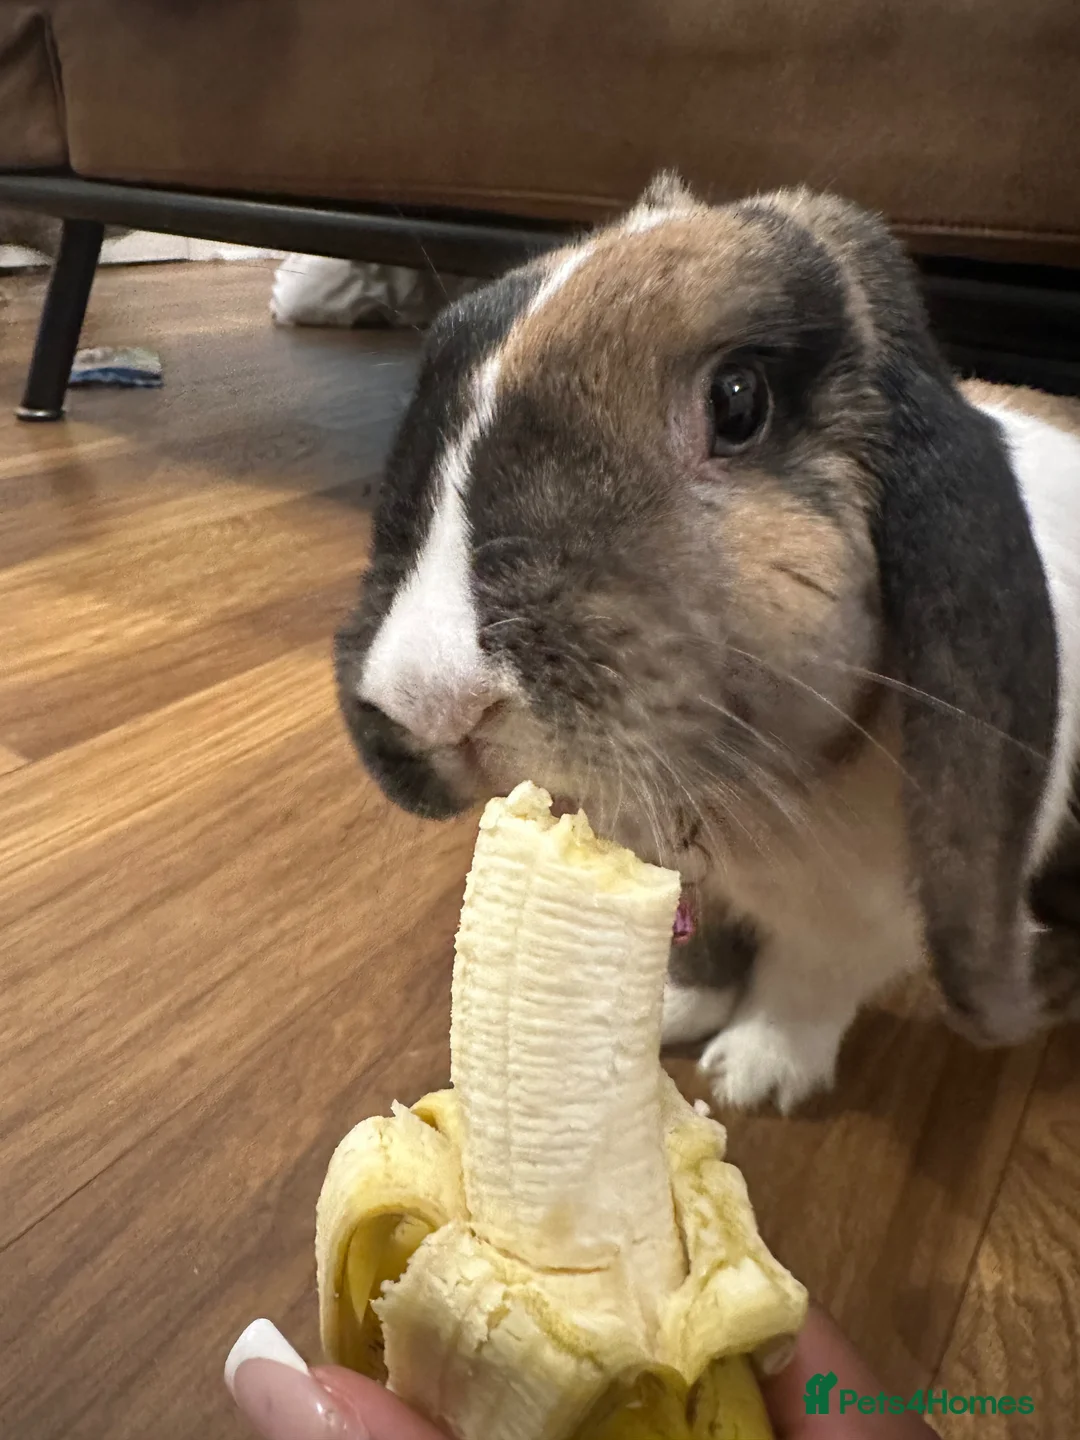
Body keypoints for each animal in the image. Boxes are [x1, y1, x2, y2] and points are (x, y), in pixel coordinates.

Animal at [333, 174, 1080, 1113]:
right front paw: (668, 1012)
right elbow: (704, 940)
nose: (433, 700)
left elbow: (808, 984)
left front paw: (752, 1074)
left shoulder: (865, 921)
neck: (755, 802)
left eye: (737, 399)